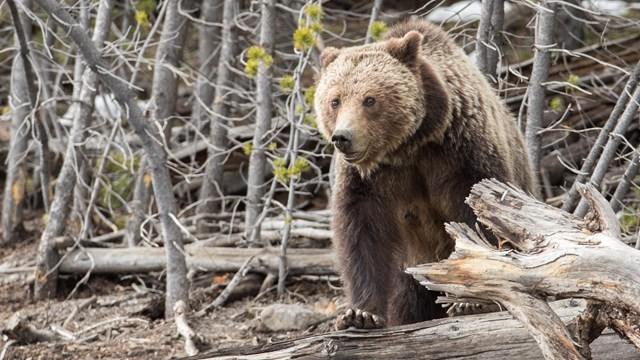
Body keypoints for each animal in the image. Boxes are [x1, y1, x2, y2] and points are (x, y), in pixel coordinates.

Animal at [316, 19, 540, 330]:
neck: (409, 145)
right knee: (408, 299)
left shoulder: (462, 153)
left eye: (369, 99)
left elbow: (479, 217)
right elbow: (362, 232)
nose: (343, 137)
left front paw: (471, 301)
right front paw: (361, 314)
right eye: (335, 100)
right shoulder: (368, 179)